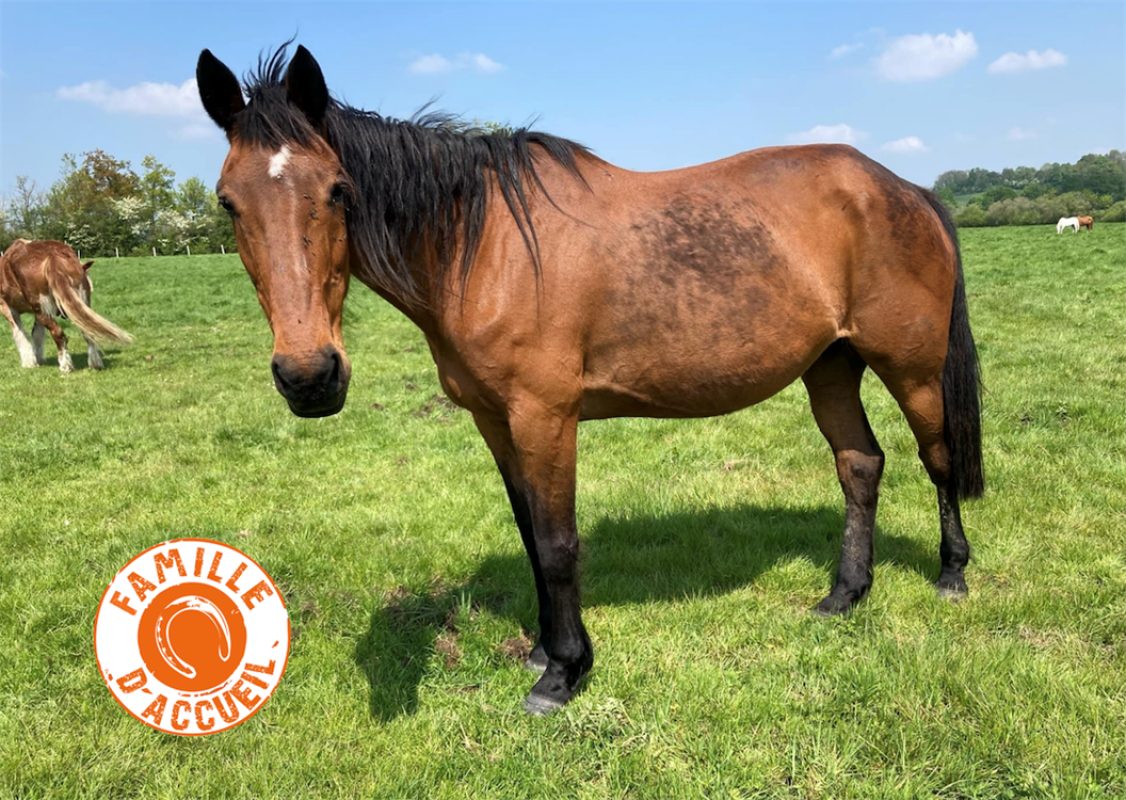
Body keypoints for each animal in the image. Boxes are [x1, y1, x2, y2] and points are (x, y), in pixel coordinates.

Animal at [0, 239, 132, 372]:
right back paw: (95, 363)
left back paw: (65, 365)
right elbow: (37, 334)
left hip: (41, 308)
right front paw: (38, 358)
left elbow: (20, 333)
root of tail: (53, 255)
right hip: (80, 301)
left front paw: (29, 362)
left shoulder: (8, 308)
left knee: (58, 333)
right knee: (87, 330)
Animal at [197, 44, 984, 715]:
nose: (309, 377)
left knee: (937, 456)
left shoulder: (544, 416)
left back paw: (952, 575)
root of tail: (905, 188)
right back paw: (845, 594)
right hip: (831, 366)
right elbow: (527, 532)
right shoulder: (495, 420)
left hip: (910, 368)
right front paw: (544, 649)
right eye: (228, 202)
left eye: (337, 189)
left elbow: (556, 541)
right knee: (860, 464)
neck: (482, 246)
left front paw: (564, 672)